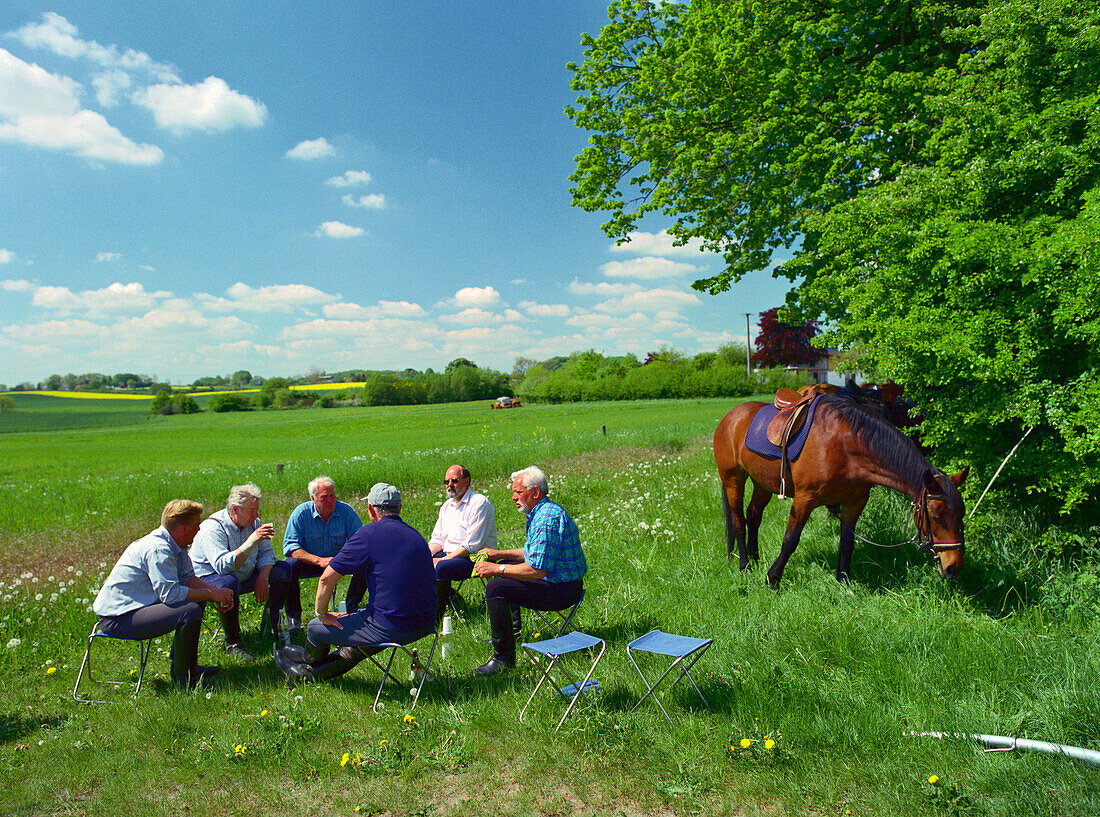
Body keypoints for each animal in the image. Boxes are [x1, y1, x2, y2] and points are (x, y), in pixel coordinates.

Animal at [712, 393, 963, 589]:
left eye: (960, 515)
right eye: (936, 515)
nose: (954, 567)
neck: (846, 445)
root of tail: (731, 416)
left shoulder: (855, 503)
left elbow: (847, 543)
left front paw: (843, 581)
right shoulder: (804, 500)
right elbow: (790, 541)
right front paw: (773, 579)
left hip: (762, 483)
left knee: (754, 516)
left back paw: (755, 560)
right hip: (733, 479)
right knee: (738, 521)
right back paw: (745, 565)